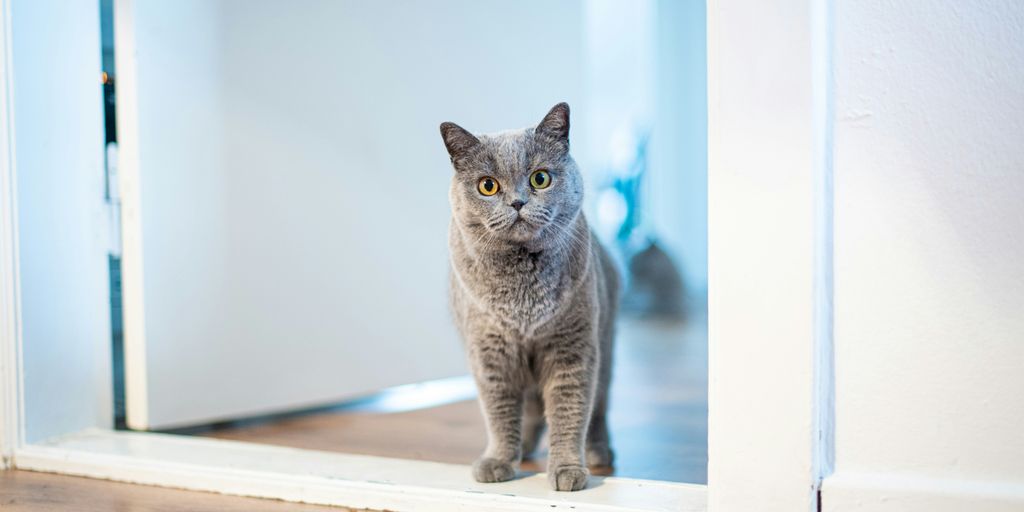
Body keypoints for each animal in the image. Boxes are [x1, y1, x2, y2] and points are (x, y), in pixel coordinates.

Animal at [438, 102, 614, 491]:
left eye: (540, 178)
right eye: (487, 186)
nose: (518, 202)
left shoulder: (572, 349)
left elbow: (569, 411)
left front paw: (566, 469)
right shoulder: (490, 354)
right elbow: (499, 413)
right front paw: (499, 461)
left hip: (607, 347)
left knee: (598, 408)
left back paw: (598, 452)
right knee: (531, 410)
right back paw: (527, 446)